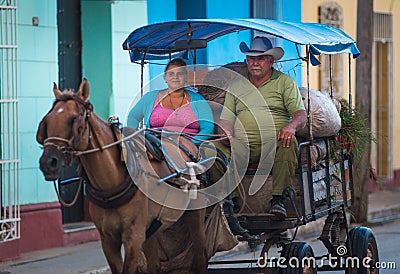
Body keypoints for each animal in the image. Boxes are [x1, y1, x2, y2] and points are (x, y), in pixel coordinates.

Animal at [36, 79, 208, 274]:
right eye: (47, 121)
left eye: (74, 119)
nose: (48, 162)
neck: (110, 184)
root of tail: (187, 143)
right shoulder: (108, 240)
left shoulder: (133, 238)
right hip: (150, 230)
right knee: (154, 265)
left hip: (195, 214)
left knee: (200, 256)